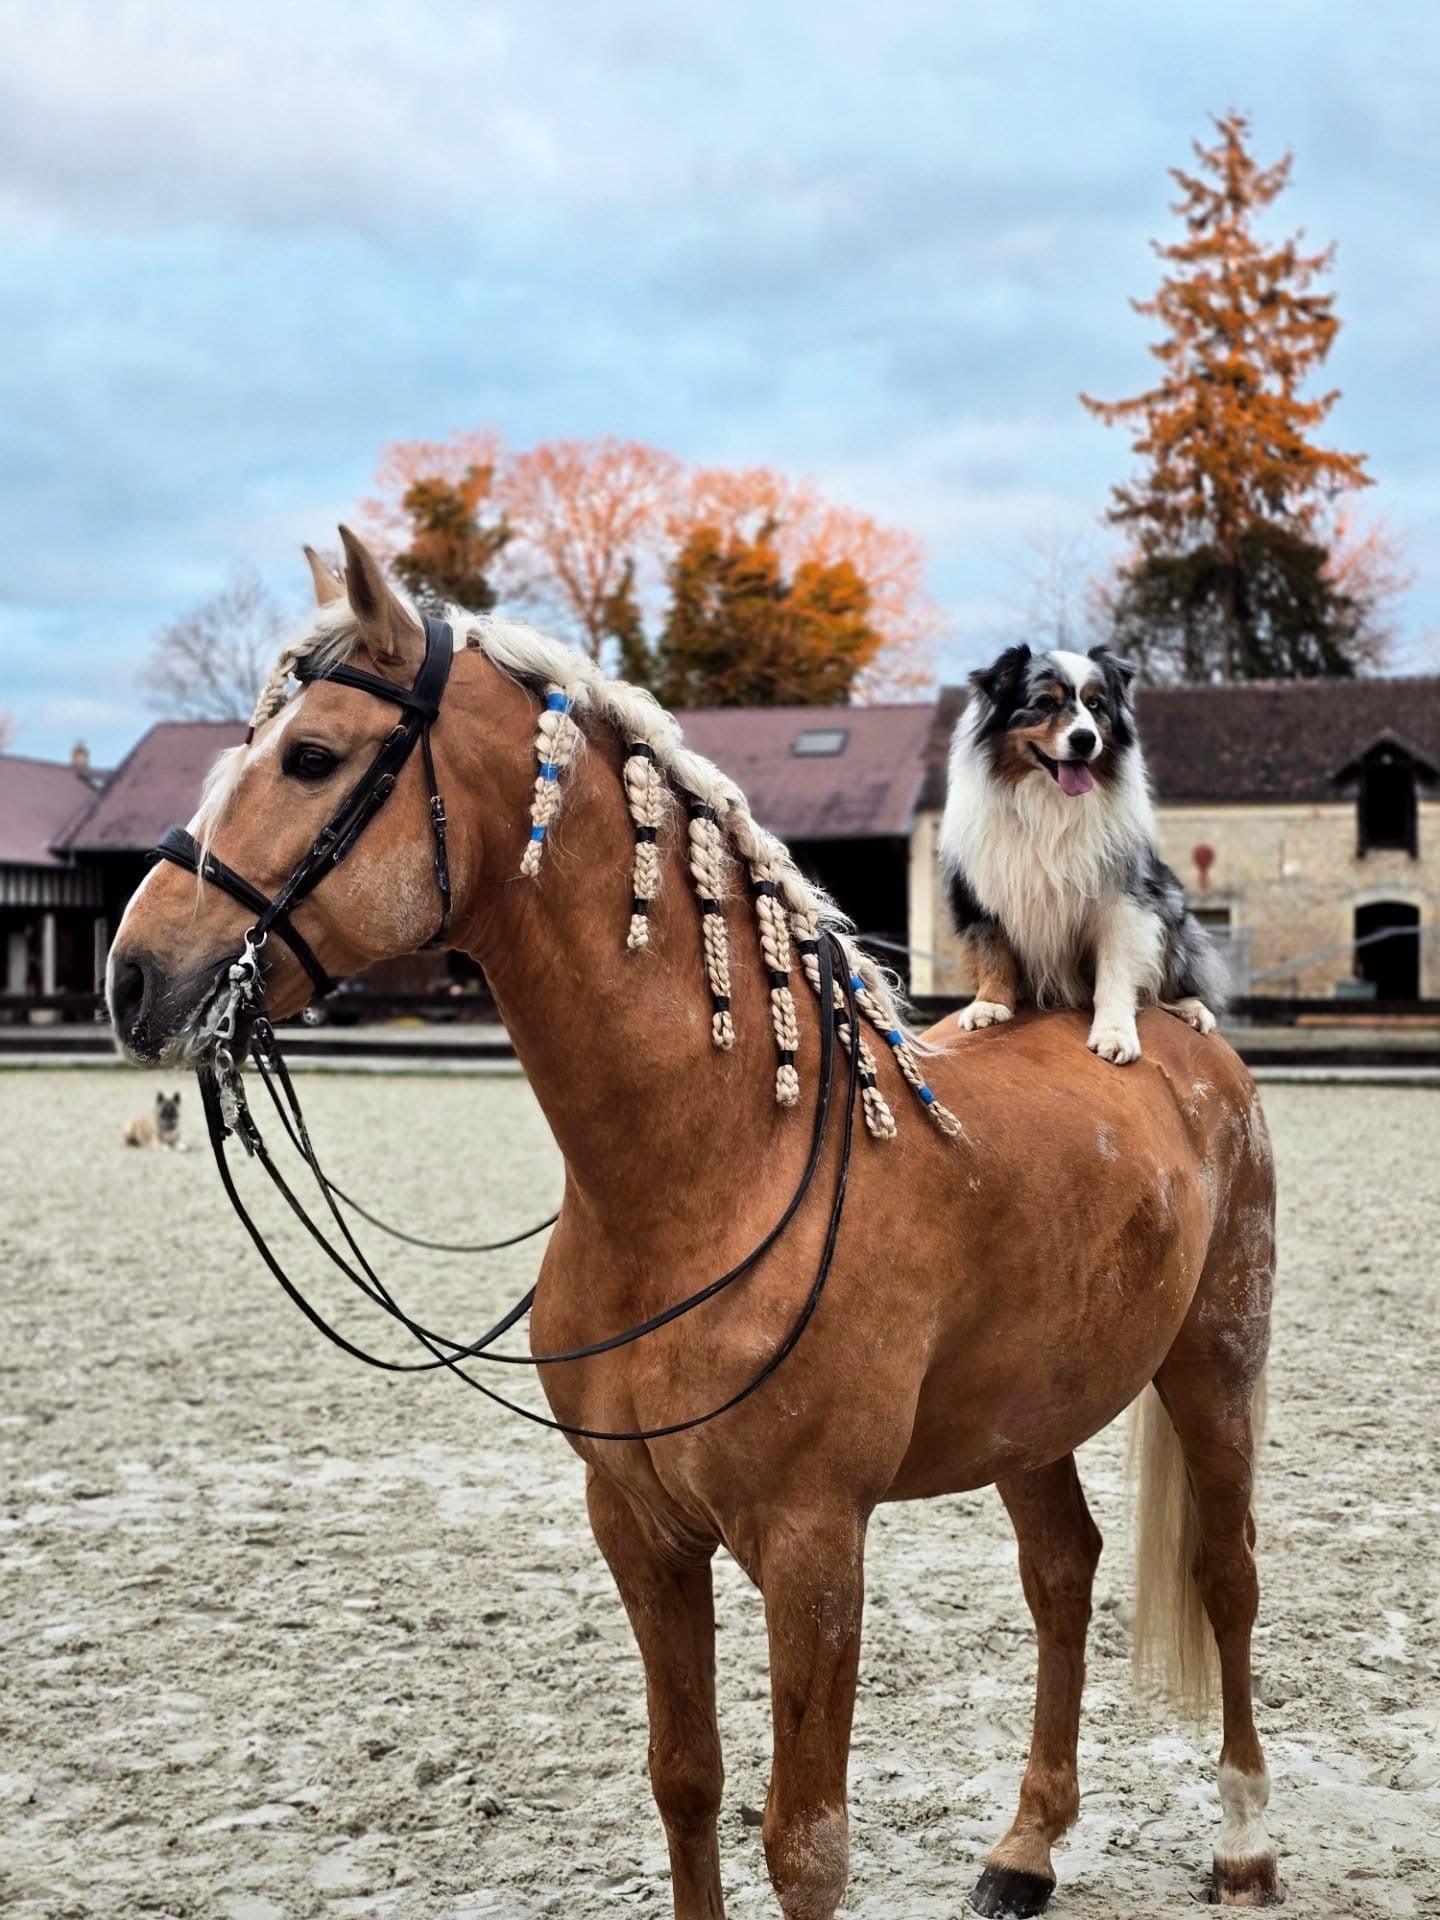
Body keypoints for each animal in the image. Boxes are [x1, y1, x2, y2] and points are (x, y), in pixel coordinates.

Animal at [108, 527, 1280, 1917]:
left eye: (311, 756)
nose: (134, 976)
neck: (714, 1173)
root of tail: (1174, 1033)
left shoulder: (813, 1548)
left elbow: (804, 1843)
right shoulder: (641, 1530)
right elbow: (687, 1784)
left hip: (1214, 1366)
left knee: (1226, 1577)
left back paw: (1245, 1844)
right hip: (1031, 1417)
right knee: (1063, 1575)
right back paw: (1024, 1852)